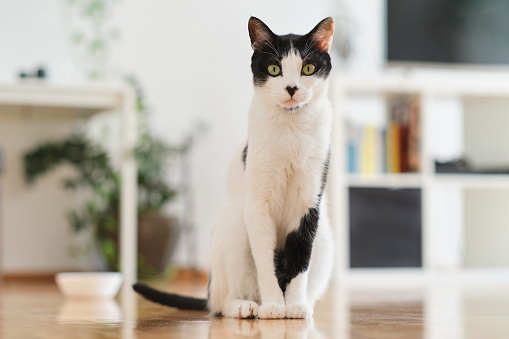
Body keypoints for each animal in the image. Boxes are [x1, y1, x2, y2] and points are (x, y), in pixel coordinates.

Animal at [133, 15, 336, 318]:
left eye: (308, 68)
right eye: (274, 69)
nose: (292, 88)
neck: (291, 128)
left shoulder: (309, 205)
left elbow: (301, 259)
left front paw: (294, 305)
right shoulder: (258, 205)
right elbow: (265, 260)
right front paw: (275, 305)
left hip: (324, 237)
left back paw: (304, 305)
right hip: (236, 225)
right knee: (222, 303)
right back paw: (249, 306)